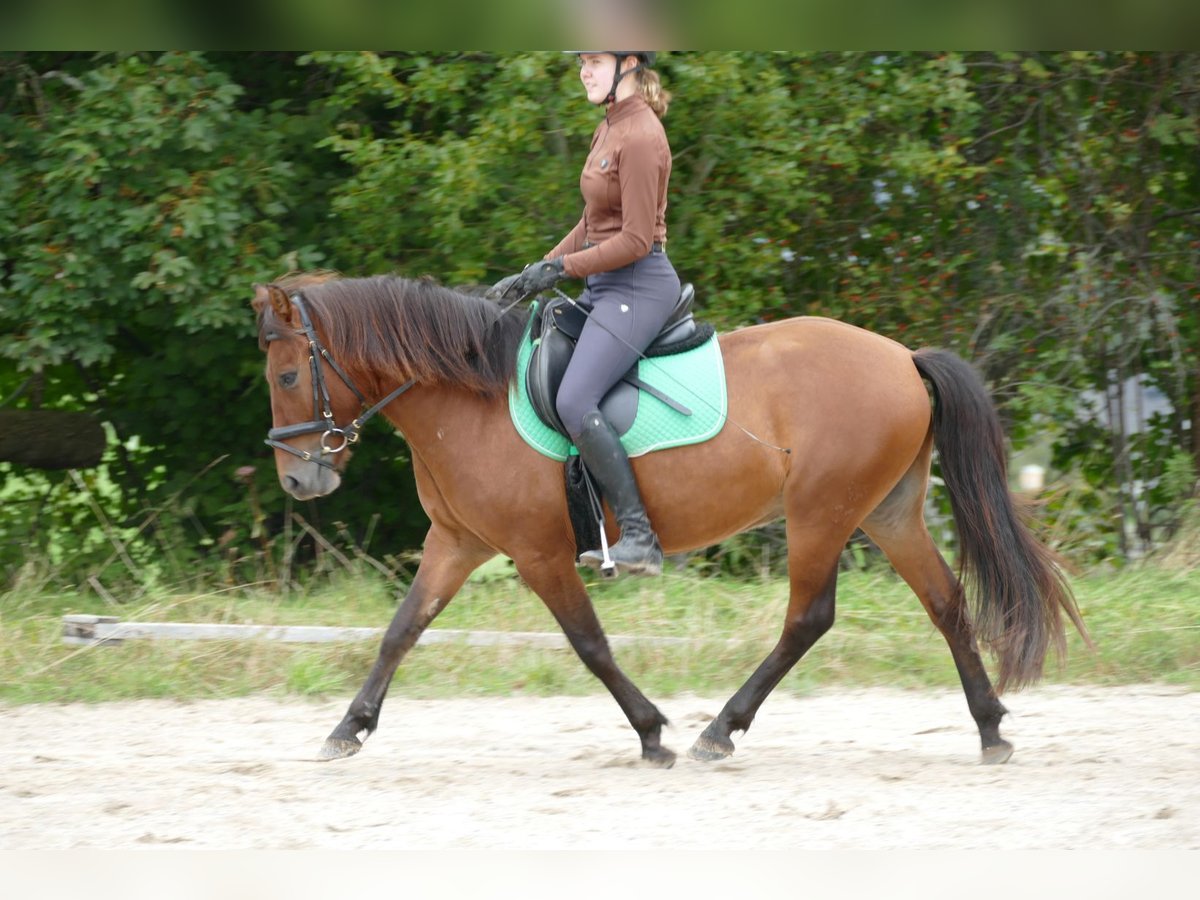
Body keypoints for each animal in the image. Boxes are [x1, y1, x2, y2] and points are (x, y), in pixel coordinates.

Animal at [250, 273, 1089, 768]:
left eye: (288, 375)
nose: (299, 478)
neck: (471, 397)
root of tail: (903, 358)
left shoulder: (537, 553)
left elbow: (589, 644)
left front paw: (652, 732)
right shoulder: (456, 543)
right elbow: (401, 629)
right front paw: (349, 728)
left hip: (821, 511)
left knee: (808, 618)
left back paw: (721, 730)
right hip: (885, 511)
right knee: (945, 602)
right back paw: (990, 728)